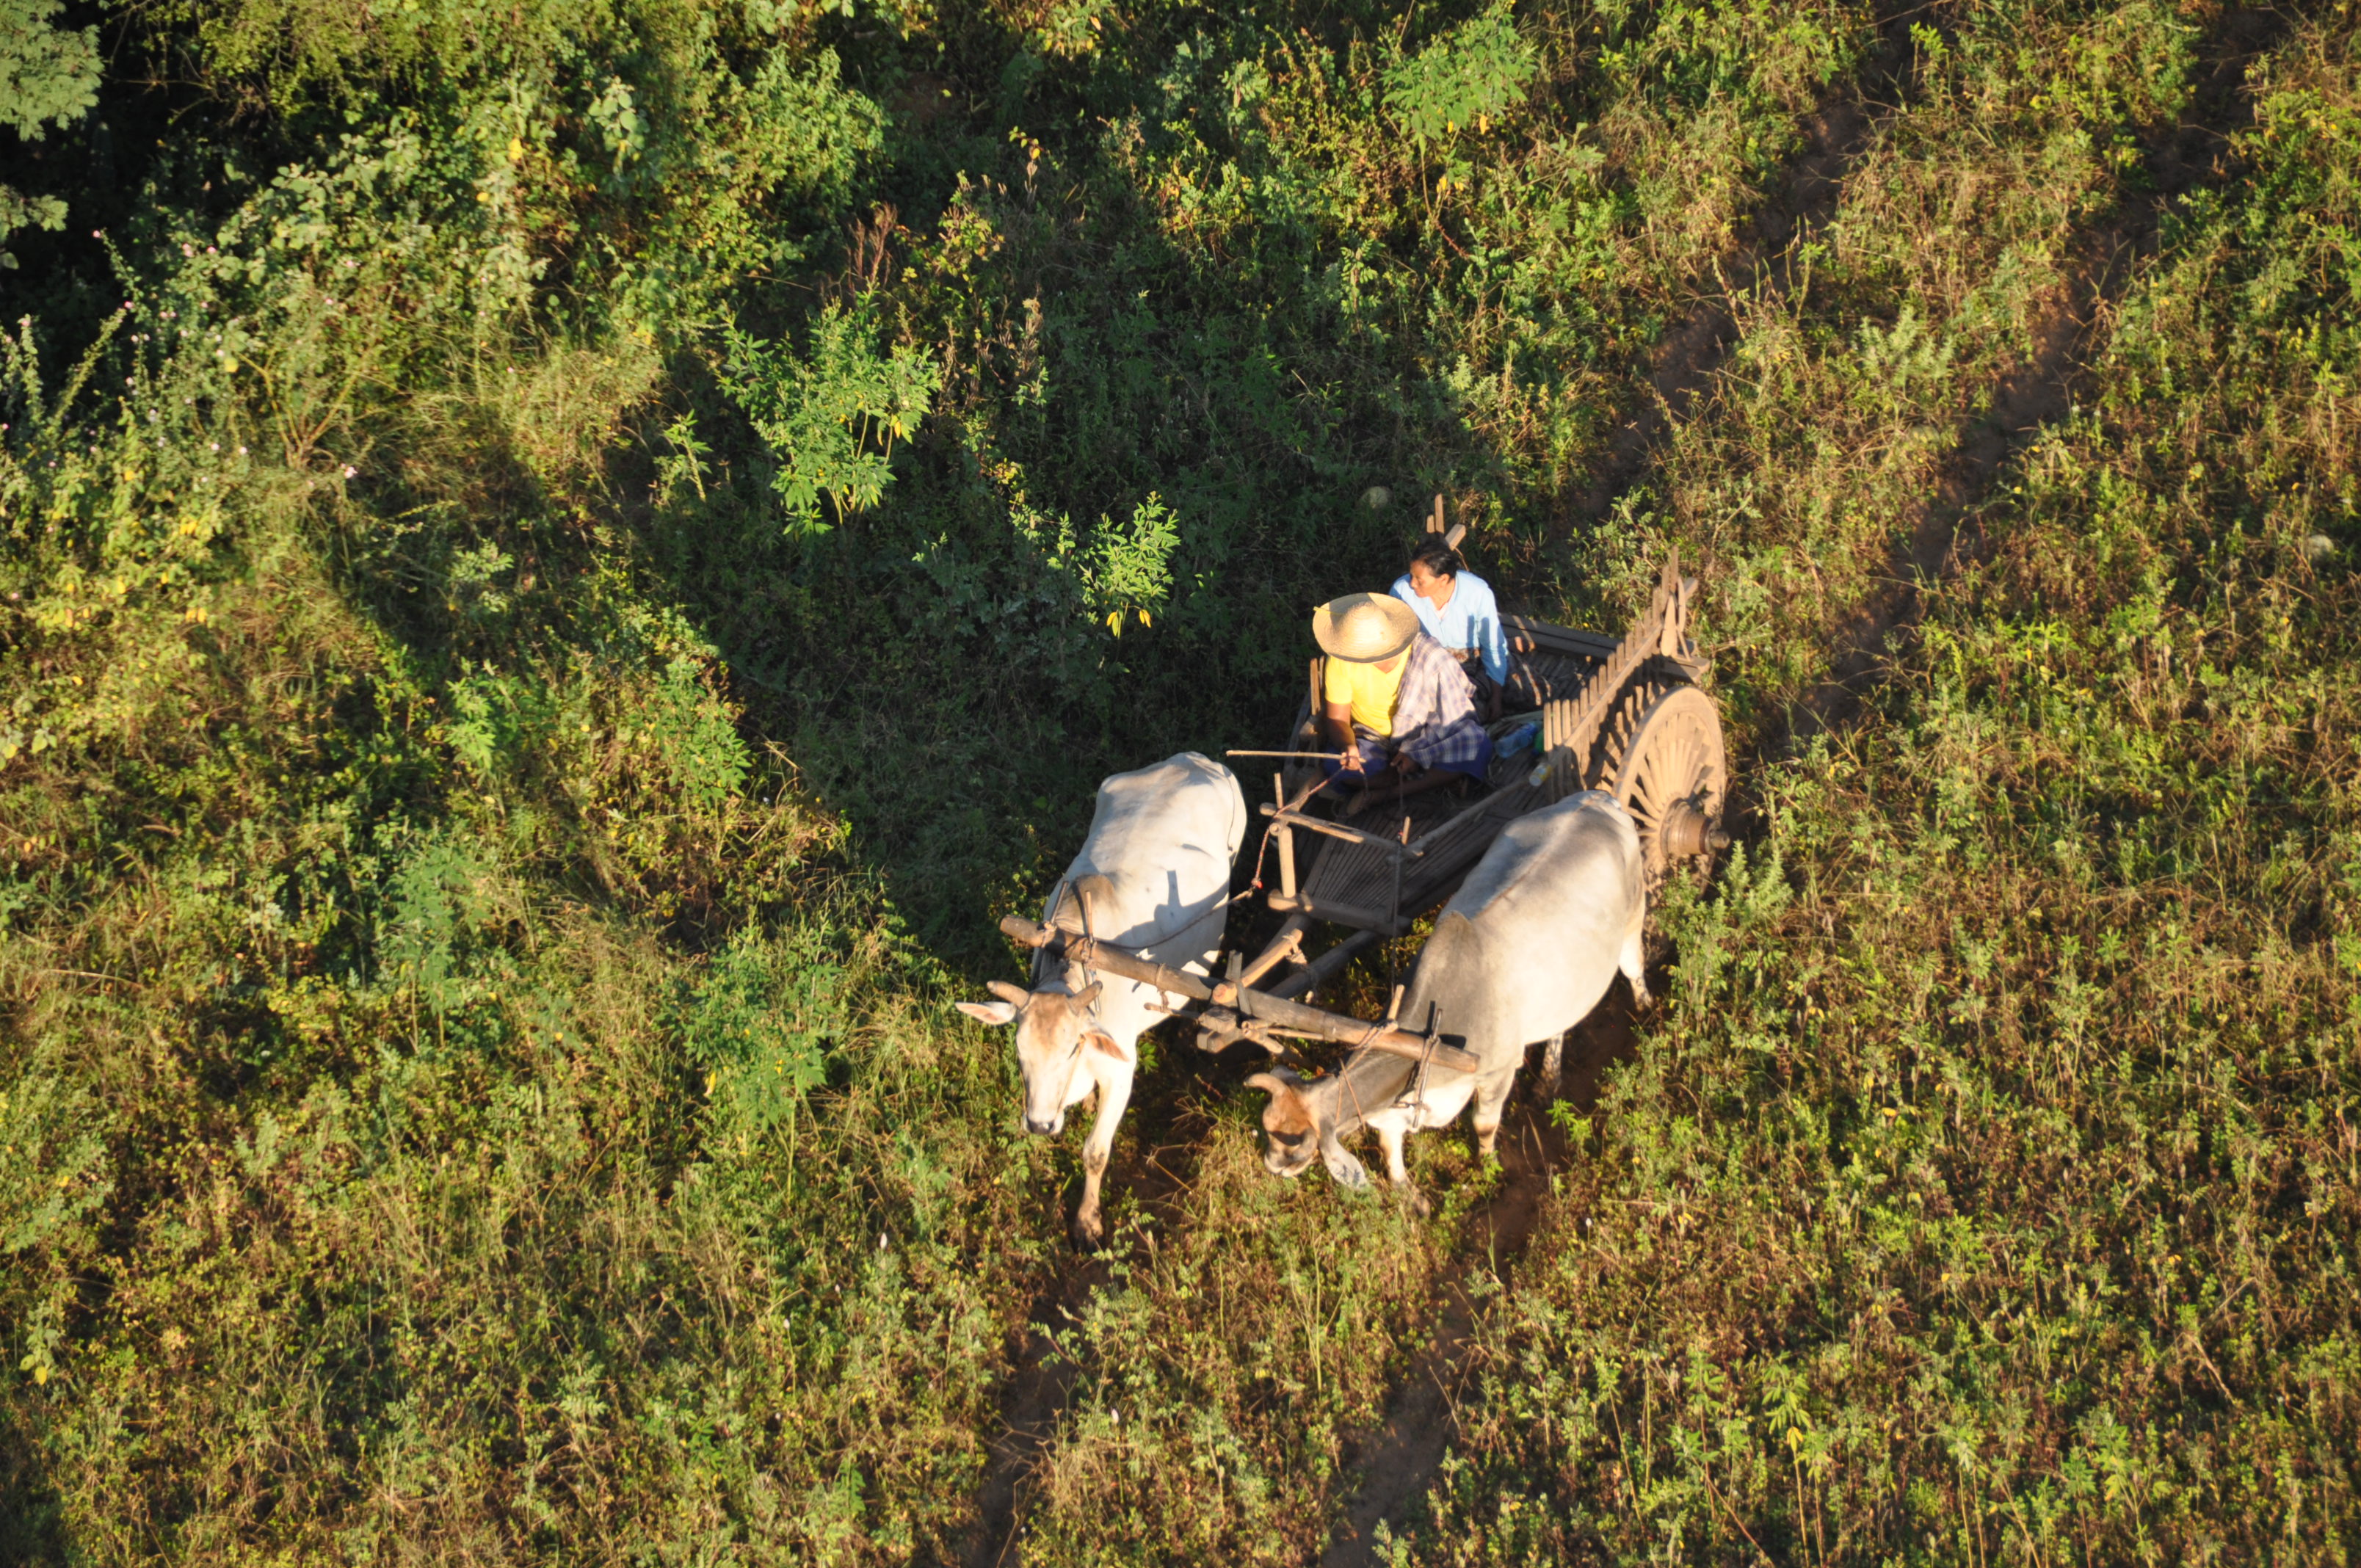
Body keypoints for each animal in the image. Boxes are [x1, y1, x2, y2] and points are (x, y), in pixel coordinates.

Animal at [963, 755, 1255, 1246]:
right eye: (1019, 1050)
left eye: (1071, 1049)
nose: (1039, 1125)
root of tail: (1198, 760)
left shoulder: (1122, 1073)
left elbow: (1095, 1153)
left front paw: (1087, 1221)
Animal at [1247, 788, 1653, 1204]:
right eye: (1269, 1126)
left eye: (1296, 1143)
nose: (1272, 1166)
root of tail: (1598, 798)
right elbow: (1390, 1147)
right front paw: (1412, 1198)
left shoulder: (1498, 1073)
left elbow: (1485, 1125)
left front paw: (1487, 1169)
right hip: (1565, 981)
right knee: (1561, 1022)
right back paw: (1548, 1079)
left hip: (1632, 921)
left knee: (1635, 970)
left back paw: (1645, 1014)